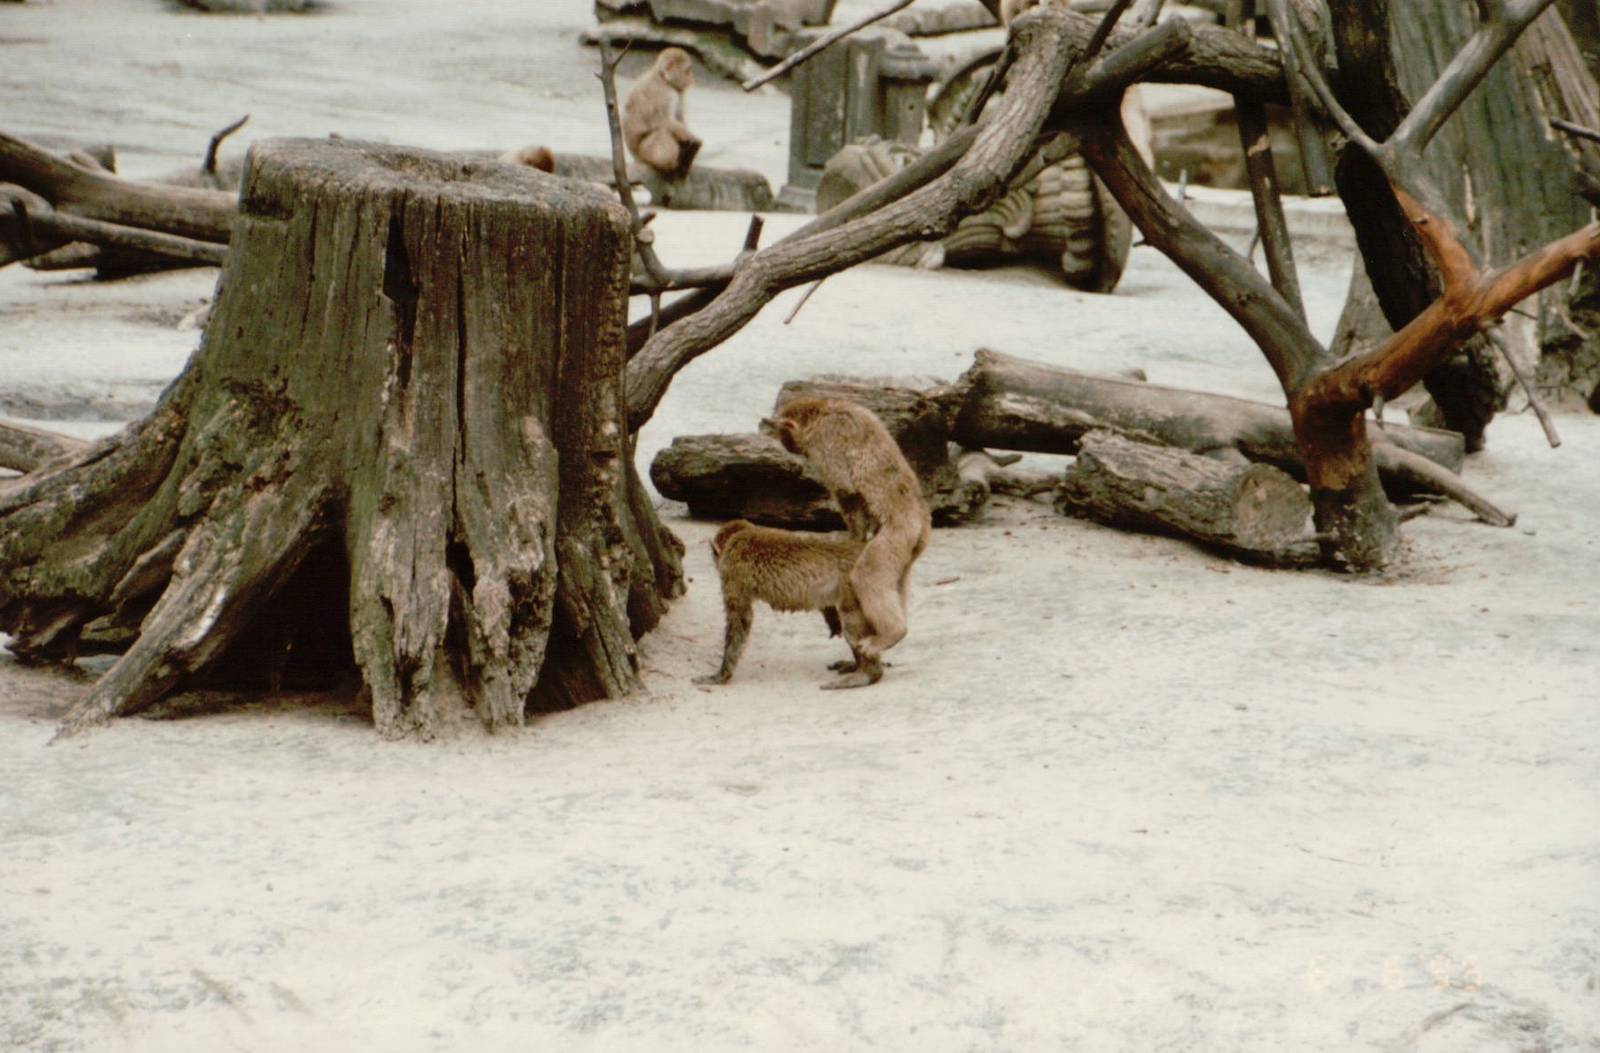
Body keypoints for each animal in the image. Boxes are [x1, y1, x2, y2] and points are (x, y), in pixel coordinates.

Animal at [622, 47, 703, 180]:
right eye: (687, 71)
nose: (692, 78)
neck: (663, 78)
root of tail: (636, 158)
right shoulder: (666, 94)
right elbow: (665, 121)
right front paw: (692, 138)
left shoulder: (678, 93)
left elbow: (679, 118)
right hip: (644, 152)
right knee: (662, 131)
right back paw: (667, 164)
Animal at [694, 519, 880, 687]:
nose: (714, 560)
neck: (741, 535)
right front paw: (831, 618)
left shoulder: (732, 569)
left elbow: (740, 617)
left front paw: (721, 675)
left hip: (857, 584)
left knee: (850, 618)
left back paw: (869, 674)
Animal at [761, 398, 932, 687]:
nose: (787, 444)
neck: (821, 411)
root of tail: (921, 520)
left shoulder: (825, 439)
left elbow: (847, 490)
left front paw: (853, 534)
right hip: (908, 549)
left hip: (897, 535)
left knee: (867, 573)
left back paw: (892, 632)